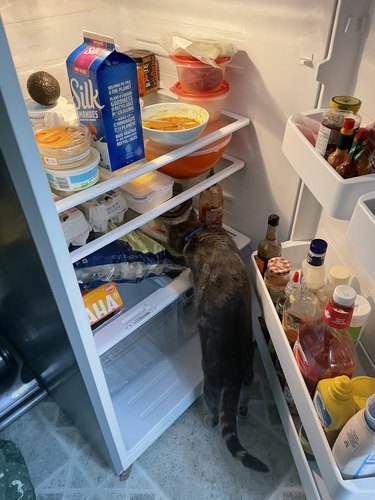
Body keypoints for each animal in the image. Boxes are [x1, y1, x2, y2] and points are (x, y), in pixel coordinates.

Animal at [168, 212, 270, 472]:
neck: (199, 231)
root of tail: (234, 368)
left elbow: (192, 274)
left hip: (210, 384)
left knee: (215, 414)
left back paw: (209, 419)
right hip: (248, 377)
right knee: (243, 400)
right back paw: (242, 411)